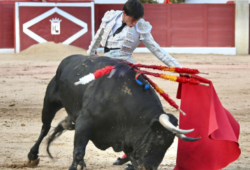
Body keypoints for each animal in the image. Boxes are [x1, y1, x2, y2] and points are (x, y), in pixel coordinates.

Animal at [26, 55, 199, 169]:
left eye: (169, 145)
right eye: (159, 139)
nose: (150, 167)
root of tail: (67, 60)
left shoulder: (129, 141)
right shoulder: (84, 121)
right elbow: (79, 151)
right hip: (50, 101)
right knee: (45, 128)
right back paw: (32, 156)